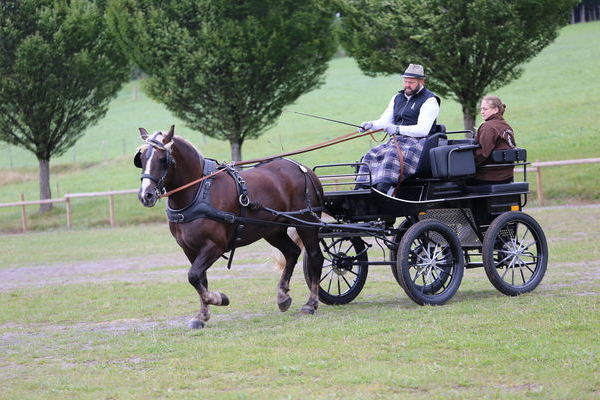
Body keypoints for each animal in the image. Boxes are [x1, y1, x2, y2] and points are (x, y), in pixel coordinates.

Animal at [134, 126, 326, 330]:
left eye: (163, 159)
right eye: (142, 158)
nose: (145, 195)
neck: (198, 192)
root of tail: (303, 169)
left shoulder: (215, 246)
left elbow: (193, 276)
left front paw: (219, 299)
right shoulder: (189, 249)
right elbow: (200, 279)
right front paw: (202, 315)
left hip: (305, 223)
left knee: (315, 257)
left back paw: (311, 304)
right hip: (273, 230)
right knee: (292, 252)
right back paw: (283, 296)